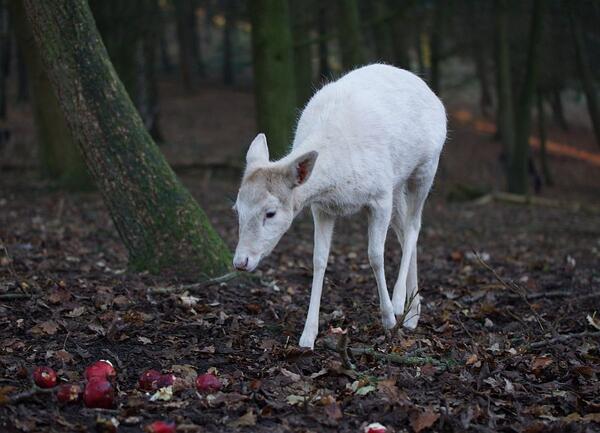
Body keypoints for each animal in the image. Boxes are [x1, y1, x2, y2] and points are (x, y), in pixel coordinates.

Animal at [232, 63, 448, 348]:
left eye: (270, 212)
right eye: (237, 209)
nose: (240, 261)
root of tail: (429, 90)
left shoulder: (380, 196)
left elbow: (375, 255)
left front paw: (389, 318)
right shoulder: (322, 208)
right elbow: (319, 260)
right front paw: (307, 335)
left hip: (426, 166)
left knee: (414, 227)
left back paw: (402, 303)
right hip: (397, 183)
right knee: (404, 232)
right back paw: (414, 314)